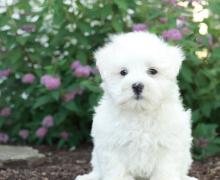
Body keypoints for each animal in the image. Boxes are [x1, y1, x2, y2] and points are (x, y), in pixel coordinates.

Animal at [75, 32, 198, 180]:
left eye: (152, 71)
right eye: (123, 72)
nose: (137, 86)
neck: (139, 113)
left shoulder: (169, 147)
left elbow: (165, 171)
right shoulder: (111, 147)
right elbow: (117, 171)